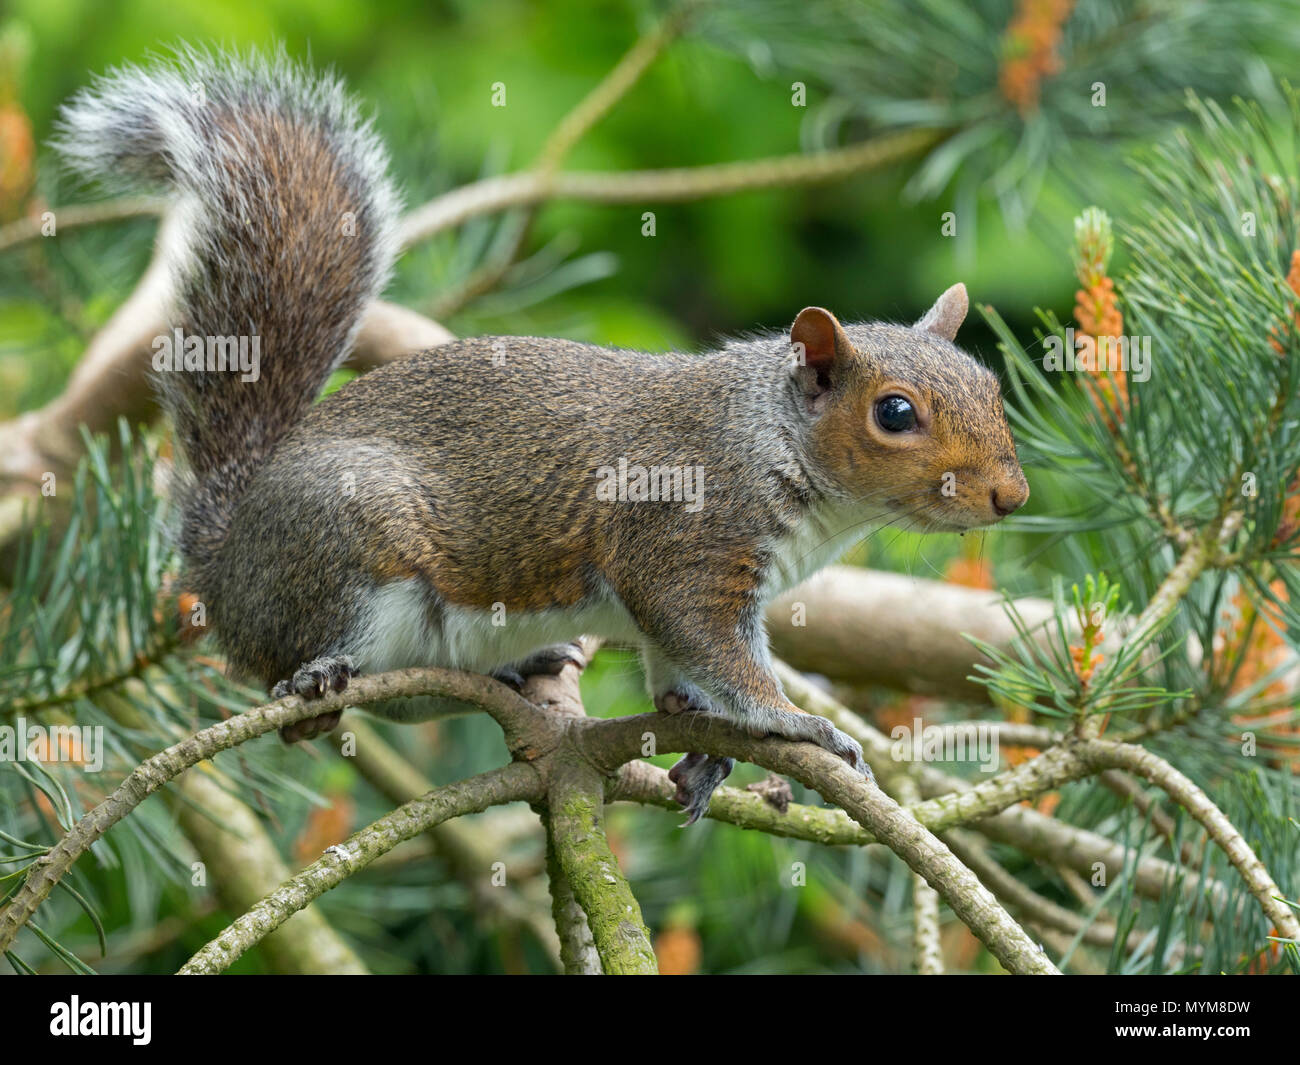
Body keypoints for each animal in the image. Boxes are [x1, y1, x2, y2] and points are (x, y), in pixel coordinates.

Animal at [56, 49, 1028, 822]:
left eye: (989, 383)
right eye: (894, 413)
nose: (1011, 496)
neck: (773, 439)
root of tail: (225, 558)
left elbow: (673, 665)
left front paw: (703, 744)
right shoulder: (686, 547)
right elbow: (716, 649)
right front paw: (798, 720)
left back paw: (517, 674)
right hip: (347, 545)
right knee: (305, 676)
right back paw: (314, 681)